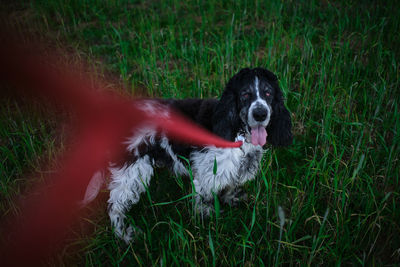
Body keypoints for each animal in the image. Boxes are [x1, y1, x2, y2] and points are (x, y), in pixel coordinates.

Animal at [84, 67, 292, 243]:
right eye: (245, 94)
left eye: (268, 93)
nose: (260, 114)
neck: (236, 131)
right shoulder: (206, 174)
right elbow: (202, 201)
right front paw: (206, 220)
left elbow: (230, 186)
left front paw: (232, 199)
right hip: (132, 171)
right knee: (114, 206)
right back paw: (124, 234)